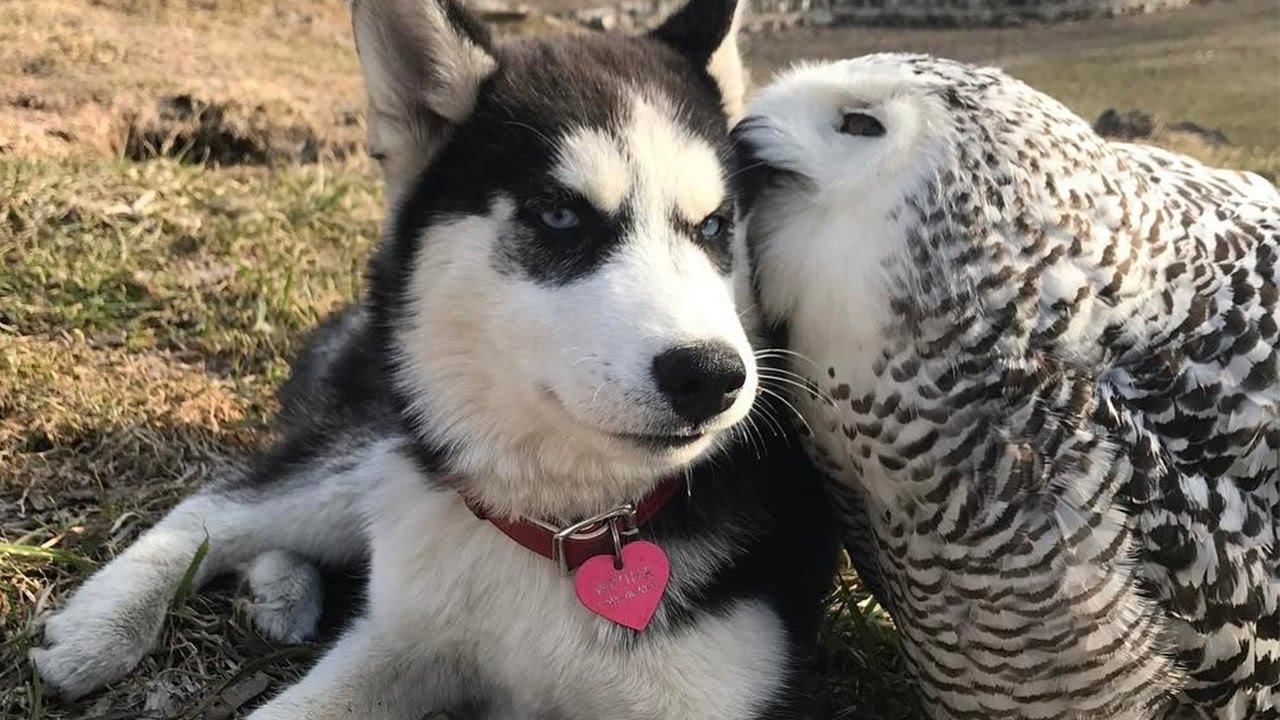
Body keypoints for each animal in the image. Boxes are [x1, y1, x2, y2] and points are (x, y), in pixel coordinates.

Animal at [30, 0, 839, 712]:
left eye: (715, 226)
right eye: (558, 215)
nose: (712, 377)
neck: (574, 530)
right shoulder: (398, 636)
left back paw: (280, 589)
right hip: (383, 454)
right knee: (222, 502)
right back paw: (99, 628)